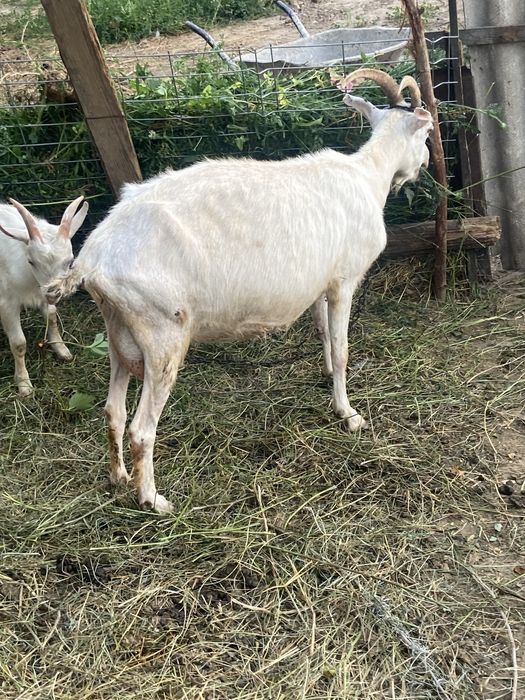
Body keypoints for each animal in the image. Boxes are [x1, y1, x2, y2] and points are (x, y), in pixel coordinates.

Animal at [0, 198, 88, 395]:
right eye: (31, 261)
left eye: (70, 261)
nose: (53, 293)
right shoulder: (7, 303)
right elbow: (18, 343)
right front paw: (24, 384)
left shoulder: (42, 294)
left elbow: (52, 317)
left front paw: (62, 350)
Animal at [43, 68, 433, 513]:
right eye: (426, 133)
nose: (424, 164)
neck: (367, 176)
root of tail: (93, 257)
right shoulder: (343, 282)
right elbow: (342, 348)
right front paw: (349, 414)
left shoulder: (320, 283)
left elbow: (323, 335)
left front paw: (326, 375)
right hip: (162, 333)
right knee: (141, 428)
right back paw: (154, 499)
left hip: (118, 332)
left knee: (112, 412)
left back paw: (119, 478)